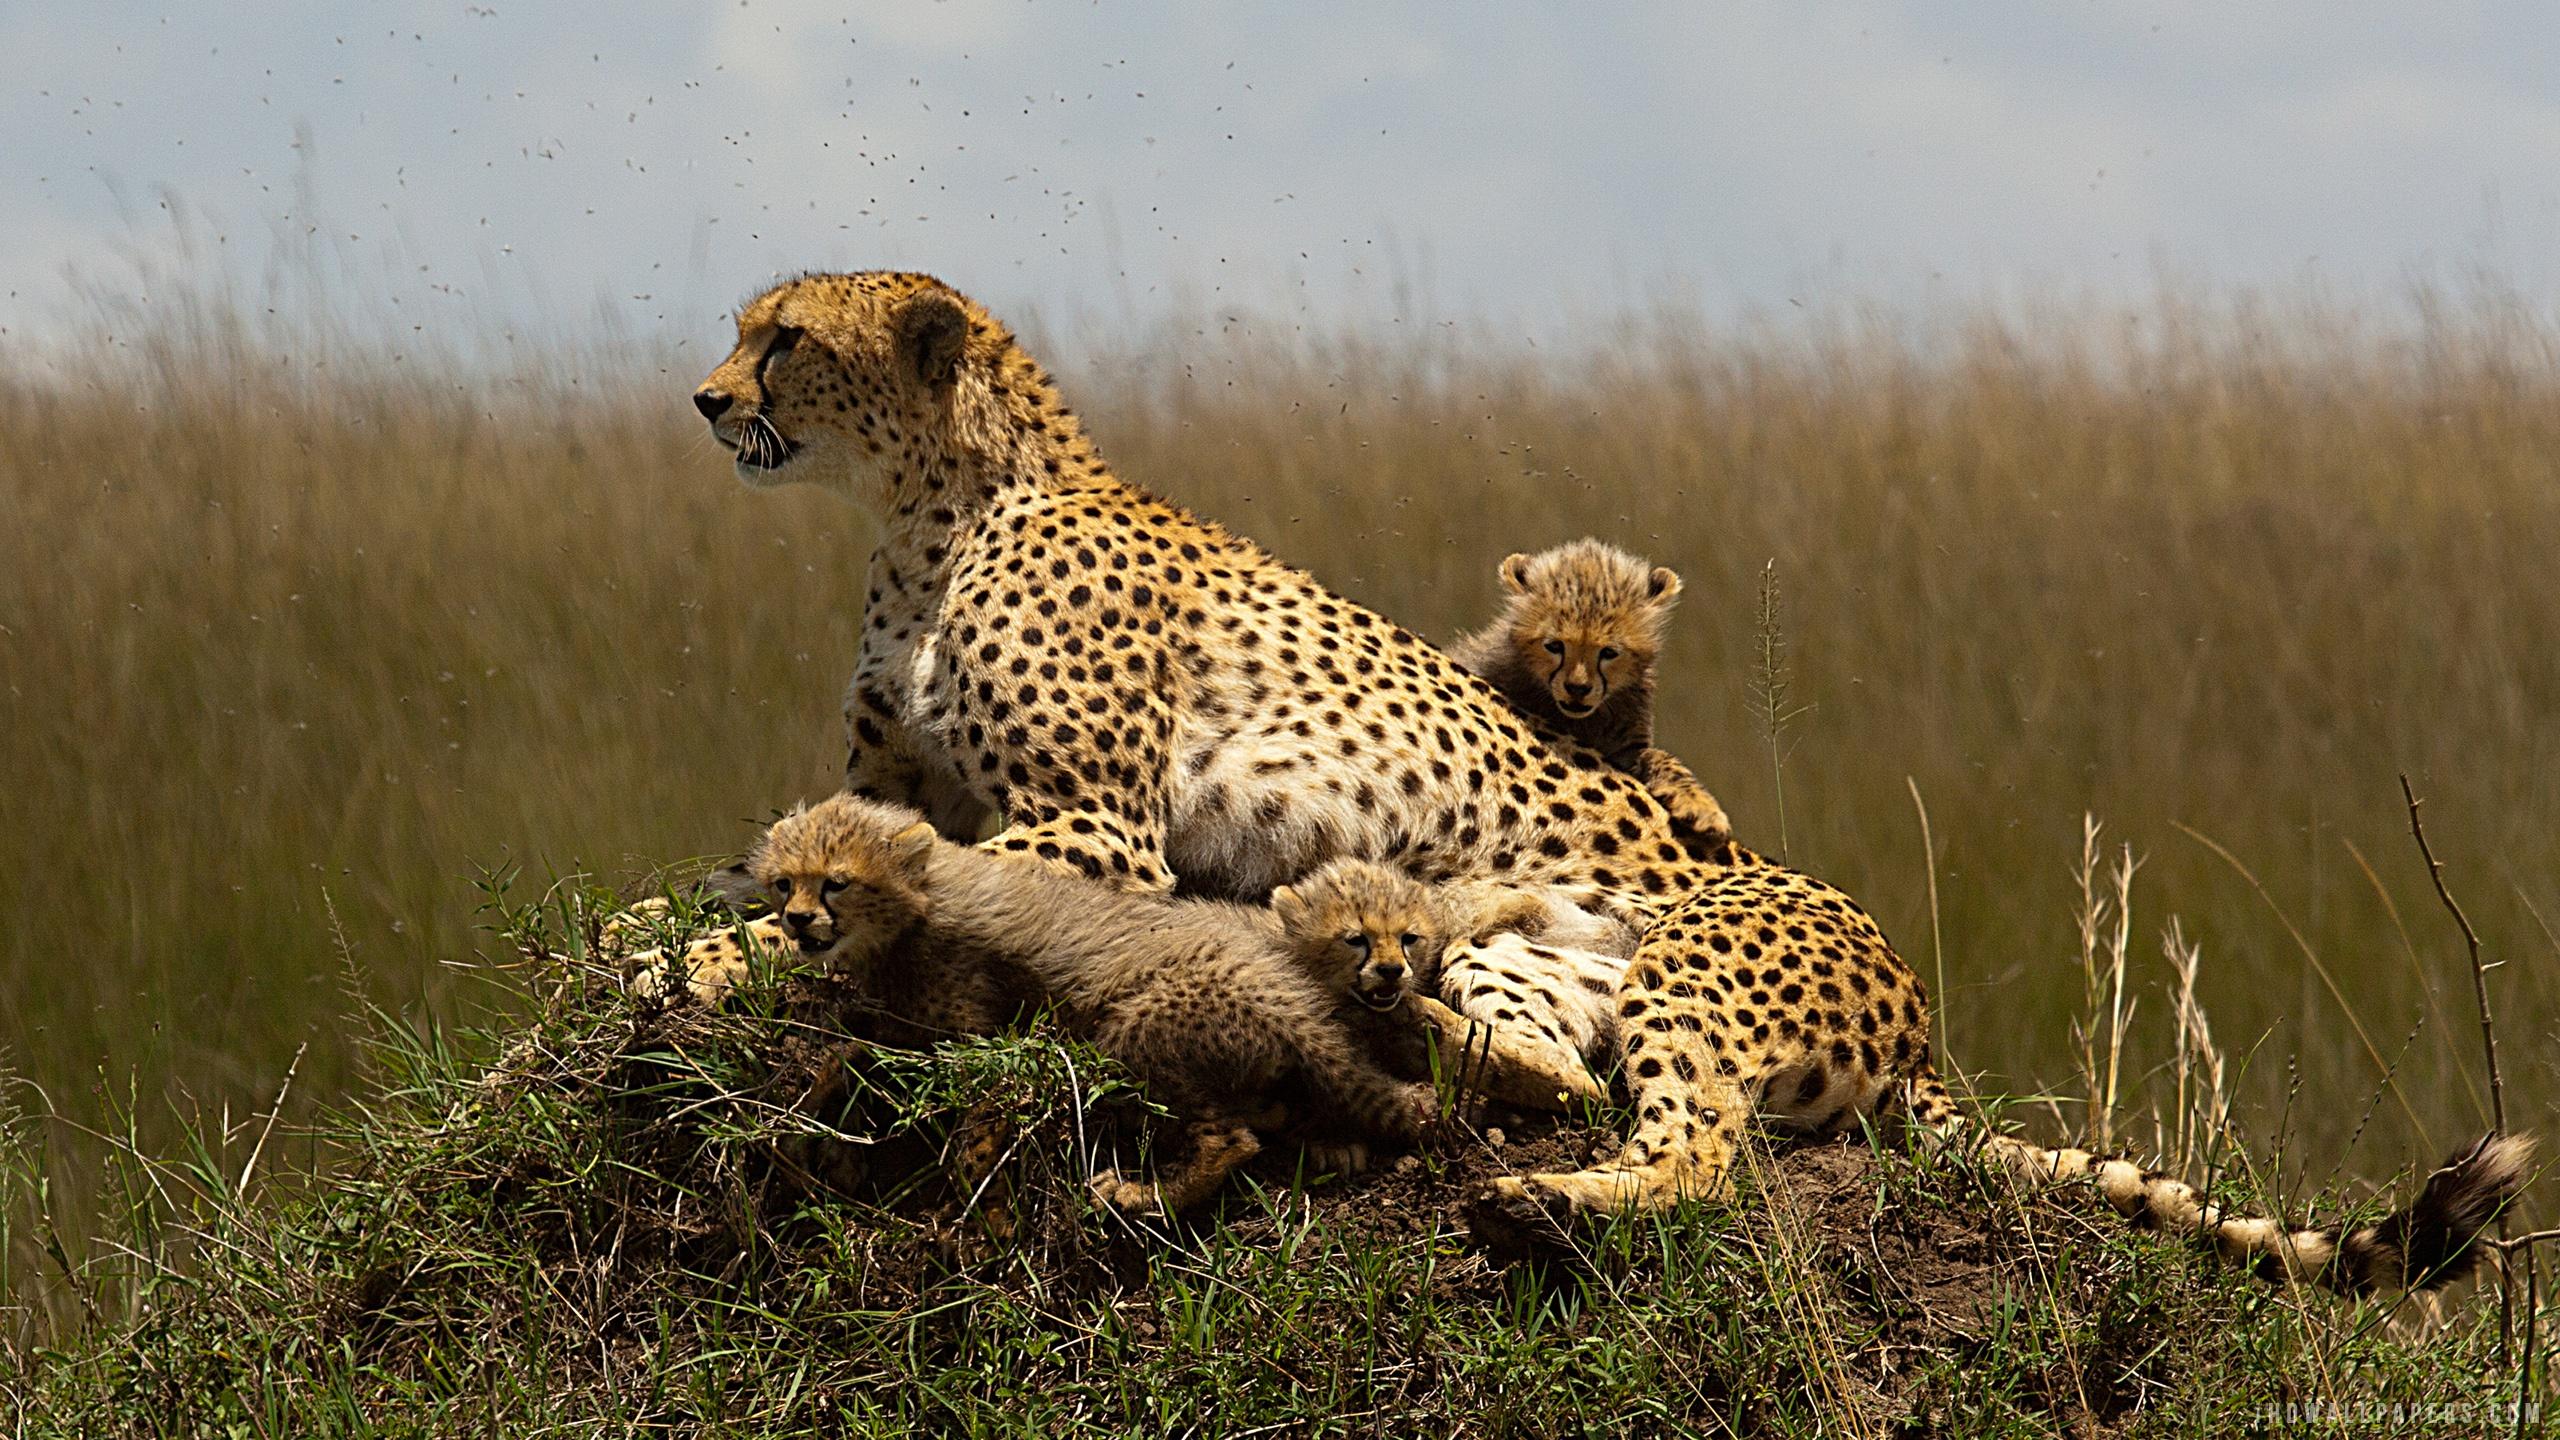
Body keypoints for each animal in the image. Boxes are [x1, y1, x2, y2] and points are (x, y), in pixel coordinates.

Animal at [739, 791, 1437, 1214]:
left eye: (837, 882)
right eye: (784, 883)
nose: (797, 921)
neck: (922, 901)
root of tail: (1289, 995)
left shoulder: (973, 1036)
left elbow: (919, 1079)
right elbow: (854, 1041)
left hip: (1135, 1032)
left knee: (1230, 1141)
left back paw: (1141, 1195)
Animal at [1446, 538, 1730, 847]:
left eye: (1609, 652)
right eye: (1554, 646)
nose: (1578, 688)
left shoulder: (1627, 751)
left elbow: (1661, 757)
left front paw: (1700, 805)